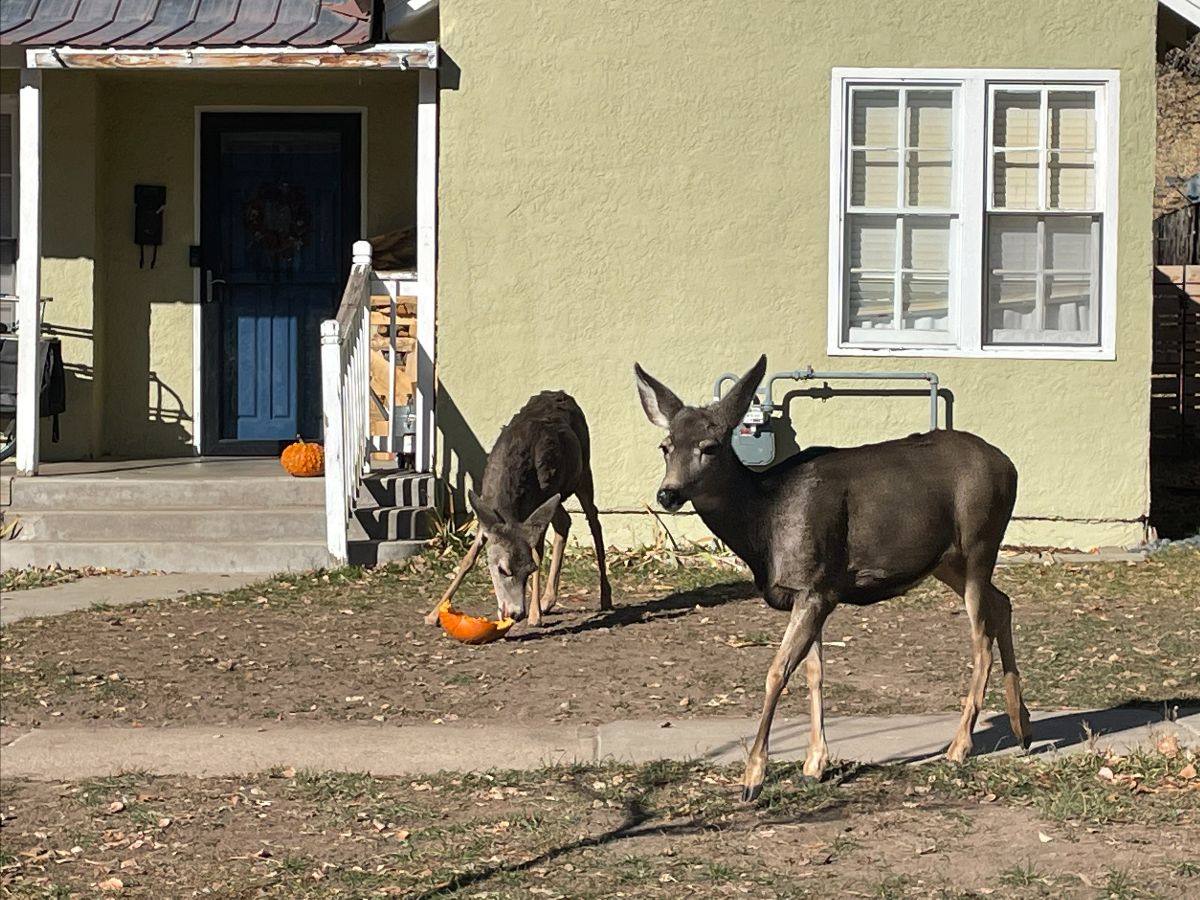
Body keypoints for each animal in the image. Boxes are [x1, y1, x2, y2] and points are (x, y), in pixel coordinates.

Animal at [424, 390, 612, 627]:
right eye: (502, 569)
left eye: (529, 570)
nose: (516, 613)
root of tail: (562, 394)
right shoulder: (488, 512)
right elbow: (469, 558)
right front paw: (433, 613)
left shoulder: (533, 510)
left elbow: (538, 554)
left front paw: (534, 615)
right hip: (556, 495)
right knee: (565, 521)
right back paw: (548, 600)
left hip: (582, 472)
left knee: (594, 520)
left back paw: (605, 596)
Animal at [634, 355, 1033, 802]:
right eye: (665, 446)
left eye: (710, 446)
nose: (668, 494)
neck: (765, 525)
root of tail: (1010, 466)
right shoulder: (814, 591)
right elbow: (815, 673)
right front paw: (814, 764)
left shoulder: (814, 588)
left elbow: (777, 672)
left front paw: (753, 777)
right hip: (947, 560)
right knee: (1002, 603)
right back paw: (1022, 727)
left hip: (981, 540)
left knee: (981, 637)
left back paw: (960, 745)